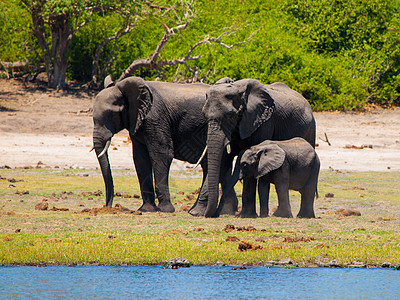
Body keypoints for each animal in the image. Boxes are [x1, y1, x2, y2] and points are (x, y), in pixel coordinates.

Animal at [92, 77, 236, 213]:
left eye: (111, 115)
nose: (107, 207)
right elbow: (140, 159)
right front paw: (146, 210)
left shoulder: (155, 118)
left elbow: (161, 154)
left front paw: (165, 210)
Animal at [198, 78, 318, 217]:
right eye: (204, 115)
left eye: (230, 116)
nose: (213, 214)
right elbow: (223, 160)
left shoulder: (264, 121)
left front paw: (246, 216)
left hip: (310, 129)